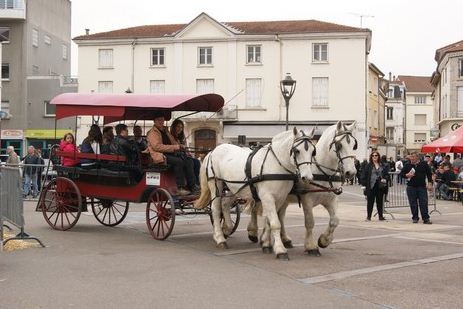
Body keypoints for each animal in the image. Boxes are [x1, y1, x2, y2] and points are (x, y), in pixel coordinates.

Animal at [194, 127, 318, 260]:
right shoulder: (267, 197)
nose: (307, 177)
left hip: (234, 187)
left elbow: (270, 221)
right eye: (297, 151)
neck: (275, 163)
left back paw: (227, 228)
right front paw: (280, 250)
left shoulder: (280, 198)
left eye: (313, 152)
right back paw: (220, 238)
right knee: (216, 209)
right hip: (216, 184)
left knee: (225, 204)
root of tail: (213, 151)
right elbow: (275, 223)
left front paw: (266, 244)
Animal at [250, 121, 358, 255]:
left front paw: (324, 240)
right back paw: (254, 233)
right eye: (339, 145)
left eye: (354, 145)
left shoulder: (331, 200)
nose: (351, 172)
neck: (323, 173)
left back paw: (282, 239)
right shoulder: (307, 200)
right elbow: (310, 222)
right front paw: (311, 246)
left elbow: (335, 221)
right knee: (257, 209)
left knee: (279, 216)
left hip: (282, 198)